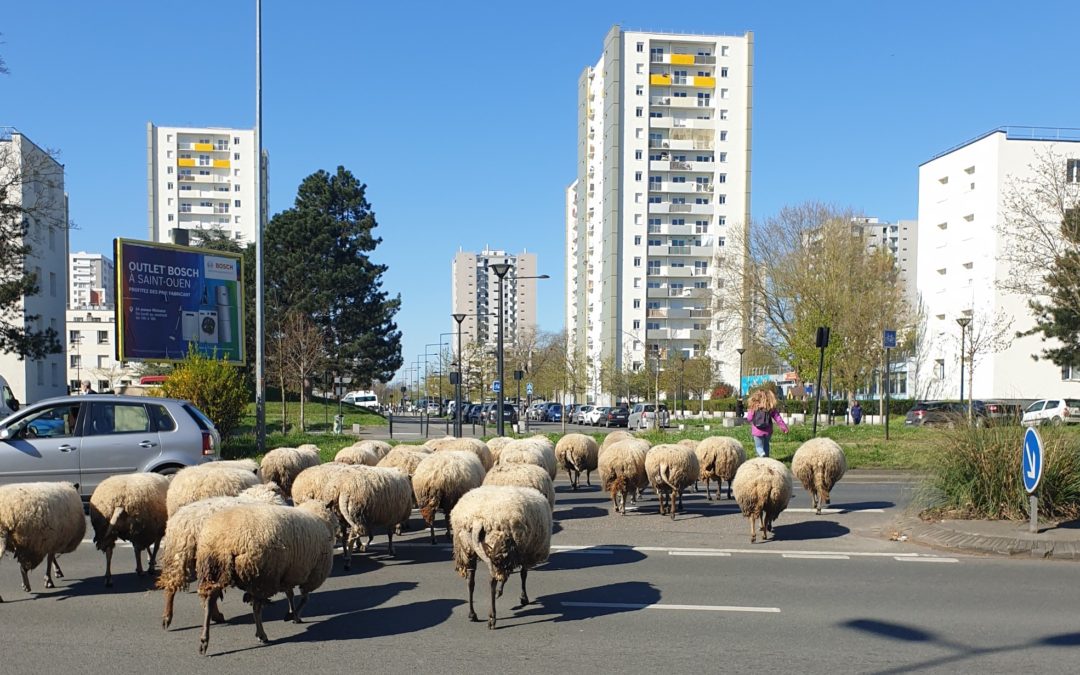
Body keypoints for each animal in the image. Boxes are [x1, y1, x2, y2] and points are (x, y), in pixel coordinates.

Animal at [194, 501, 334, 652]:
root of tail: (223, 541)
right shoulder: (313, 574)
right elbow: (304, 598)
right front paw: (293, 615)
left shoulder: (286, 574)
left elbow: (290, 595)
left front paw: (292, 613)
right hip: (262, 578)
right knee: (256, 608)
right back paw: (261, 634)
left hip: (211, 570)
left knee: (209, 600)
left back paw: (204, 639)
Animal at [449, 483, 552, 626]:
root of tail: (478, 520)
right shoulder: (522, 553)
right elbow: (522, 575)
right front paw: (522, 597)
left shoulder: (515, 553)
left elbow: (510, 575)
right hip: (497, 545)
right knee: (492, 580)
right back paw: (492, 617)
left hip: (467, 548)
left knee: (470, 581)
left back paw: (472, 614)